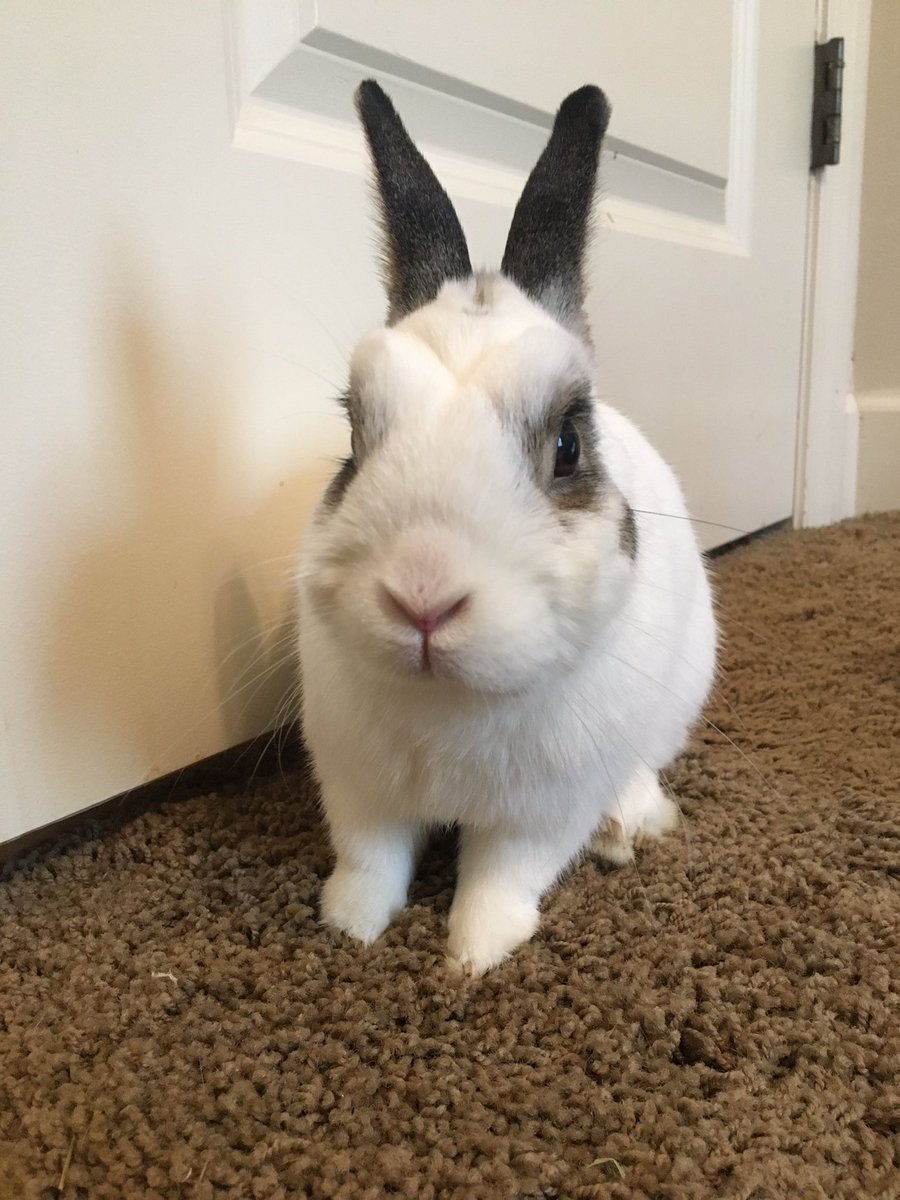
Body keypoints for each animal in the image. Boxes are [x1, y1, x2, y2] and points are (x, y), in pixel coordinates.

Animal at [296, 79, 717, 975]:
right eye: (354, 434)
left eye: (567, 445)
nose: (422, 599)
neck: (451, 703)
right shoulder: (359, 789)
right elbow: (370, 860)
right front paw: (349, 926)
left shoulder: (542, 812)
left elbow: (501, 877)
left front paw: (473, 955)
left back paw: (626, 826)